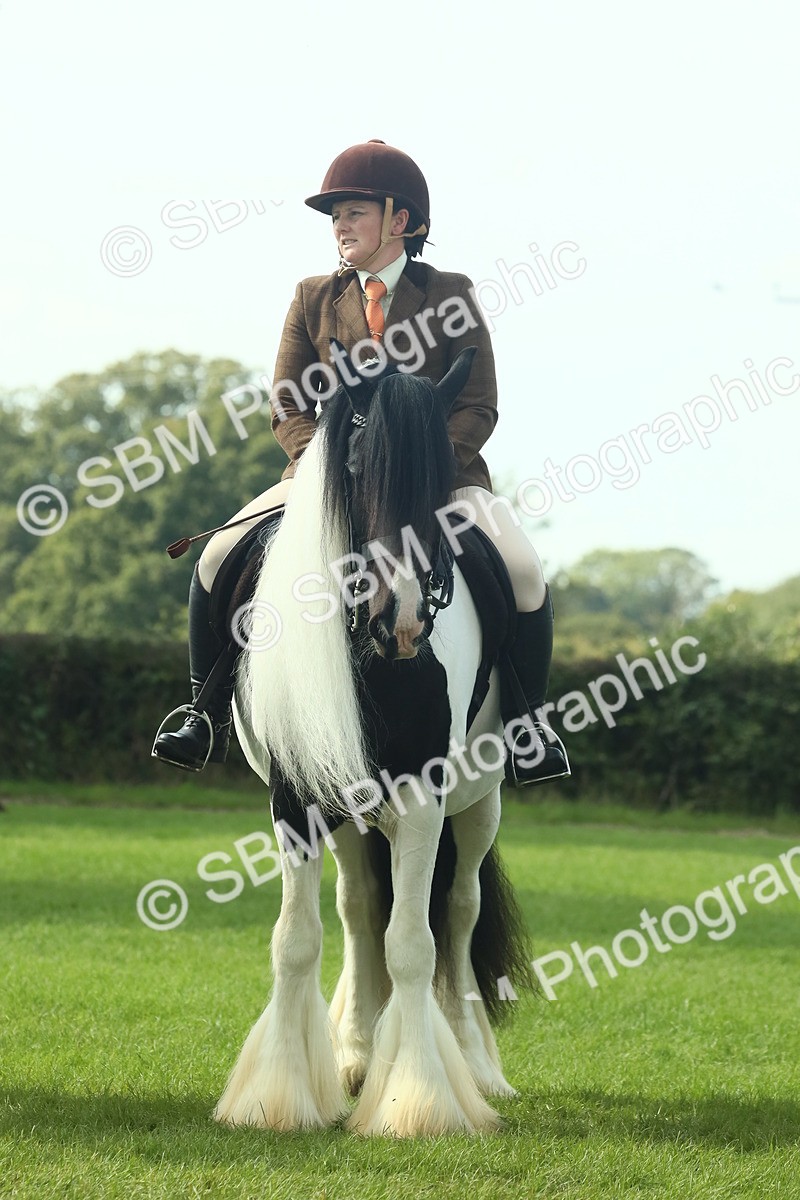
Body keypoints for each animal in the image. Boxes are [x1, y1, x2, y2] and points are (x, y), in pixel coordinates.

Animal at [213, 343, 532, 1137]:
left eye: (442, 482)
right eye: (353, 471)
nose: (404, 621)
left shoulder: (422, 792)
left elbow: (414, 944)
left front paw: (417, 1102)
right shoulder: (295, 795)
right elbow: (298, 940)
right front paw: (278, 1096)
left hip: (477, 807)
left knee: (457, 911)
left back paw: (473, 1067)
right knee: (359, 911)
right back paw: (357, 1055)